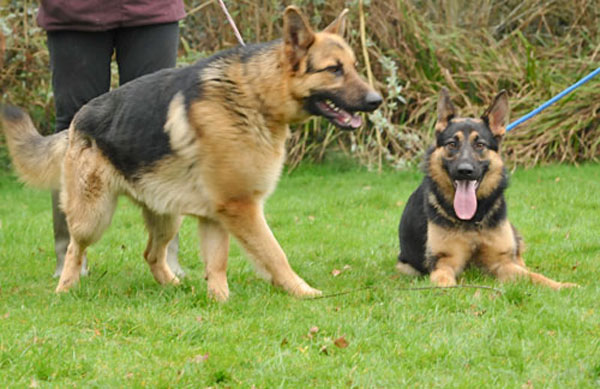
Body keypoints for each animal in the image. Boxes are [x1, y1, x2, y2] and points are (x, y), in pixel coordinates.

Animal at [0, 6, 382, 298]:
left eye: (354, 66)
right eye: (334, 69)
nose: (376, 101)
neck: (255, 94)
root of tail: (77, 120)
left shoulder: (218, 214)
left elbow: (217, 263)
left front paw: (220, 301)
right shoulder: (241, 207)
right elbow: (275, 254)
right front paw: (303, 292)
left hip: (168, 216)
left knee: (152, 254)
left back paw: (175, 287)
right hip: (94, 216)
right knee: (75, 249)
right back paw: (66, 287)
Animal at [398, 88, 576, 288]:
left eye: (480, 145)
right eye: (452, 144)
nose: (465, 171)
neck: (472, 219)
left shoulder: (502, 262)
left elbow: (535, 277)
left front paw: (563, 286)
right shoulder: (444, 262)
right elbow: (445, 283)